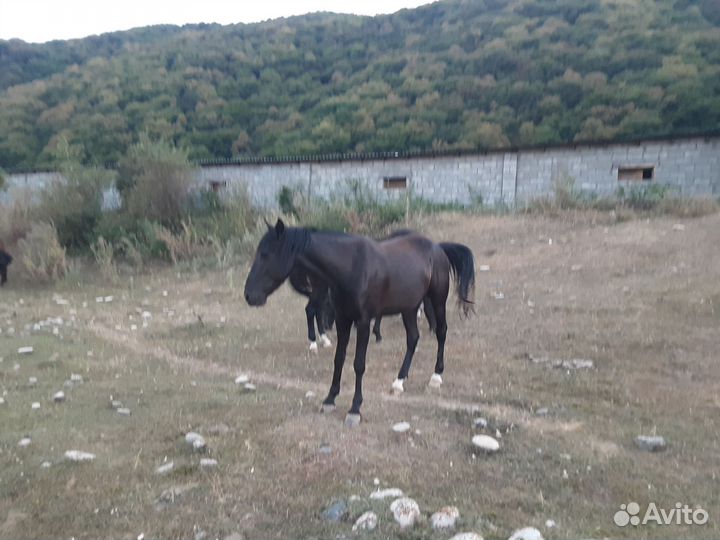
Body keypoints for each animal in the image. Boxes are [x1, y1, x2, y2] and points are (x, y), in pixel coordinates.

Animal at [244, 219, 475, 425]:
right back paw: (399, 381)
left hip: (437, 301)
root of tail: (438, 248)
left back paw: (436, 376)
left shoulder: (363, 322)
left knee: (441, 332)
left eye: (266, 254)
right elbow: (339, 359)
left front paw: (354, 408)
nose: (249, 295)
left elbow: (358, 364)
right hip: (409, 308)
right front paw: (330, 399)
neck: (351, 268)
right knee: (412, 339)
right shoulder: (343, 320)